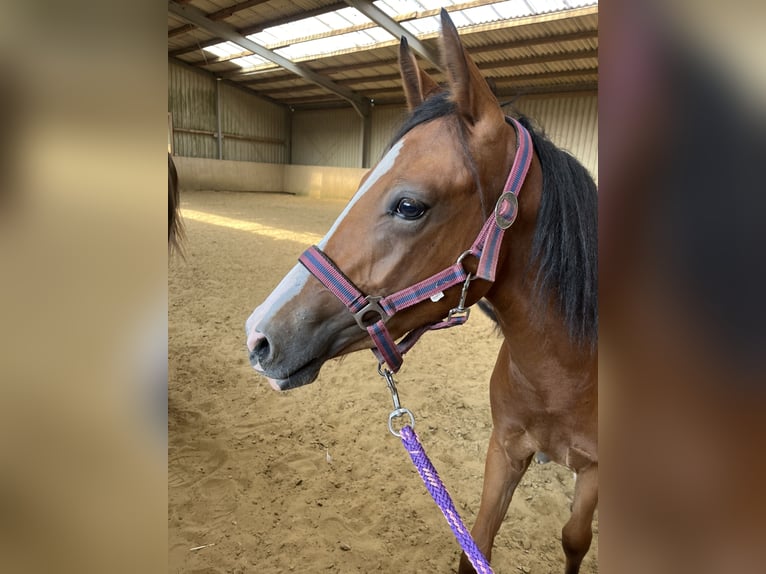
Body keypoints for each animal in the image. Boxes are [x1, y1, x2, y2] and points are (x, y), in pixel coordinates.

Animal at [246, 10, 600, 574]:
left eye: (410, 206)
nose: (258, 337)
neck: (567, 371)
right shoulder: (505, 449)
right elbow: (475, 545)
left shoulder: (593, 474)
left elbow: (574, 539)